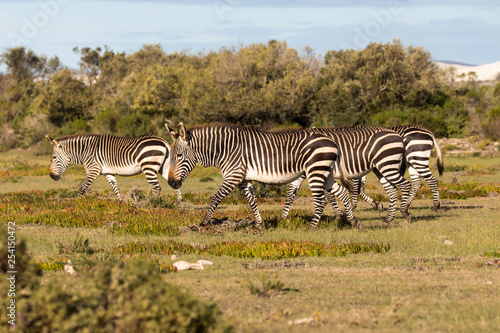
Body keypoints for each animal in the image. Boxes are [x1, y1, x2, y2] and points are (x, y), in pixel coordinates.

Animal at [45, 134, 182, 201]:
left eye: (54, 158)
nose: (51, 176)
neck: (84, 151)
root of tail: (164, 141)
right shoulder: (108, 173)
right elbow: (116, 189)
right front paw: (121, 204)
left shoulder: (93, 170)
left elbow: (83, 187)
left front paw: (75, 203)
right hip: (163, 166)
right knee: (175, 182)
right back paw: (180, 204)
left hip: (149, 166)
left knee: (156, 187)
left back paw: (151, 205)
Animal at [164, 122, 356, 228]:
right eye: (171, 155)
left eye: (179, 156)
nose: (172, 183)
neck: (224, 149)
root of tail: (332, 141)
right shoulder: (244, 179)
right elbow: (252, 201)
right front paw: (258, 224)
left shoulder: (233, 175)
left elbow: (216, 197)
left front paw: (204, 222)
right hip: (326, 172)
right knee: (343, 193)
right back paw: (353, 222)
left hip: (315, 171)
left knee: (321, 201)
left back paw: (312, 227)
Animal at [282, 127, 414, 223]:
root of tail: (397, 135)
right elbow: (291, 194)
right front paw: (283, 218)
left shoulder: (317, 171)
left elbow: (329, 195)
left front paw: (338, 216)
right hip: (380, 168)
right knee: (393, 190)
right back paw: (388, 218)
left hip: (387, 164)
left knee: (405, 185)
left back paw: (405, 212)